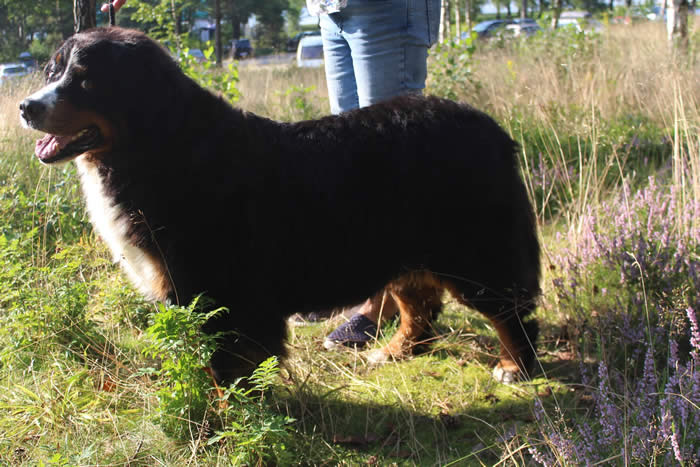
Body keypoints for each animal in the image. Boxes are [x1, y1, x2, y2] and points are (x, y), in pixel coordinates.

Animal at [17, 28, 540, 384]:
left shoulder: (220, 290)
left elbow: (223, 366)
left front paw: (222, 422)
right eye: (53, 71)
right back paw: (394, 351)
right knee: (421, 307)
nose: (26, 106)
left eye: (85, 81)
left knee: (510, 312)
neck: (161, 145)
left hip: (475, 250)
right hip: (407, 245)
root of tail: (490, 127)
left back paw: (515, 365)